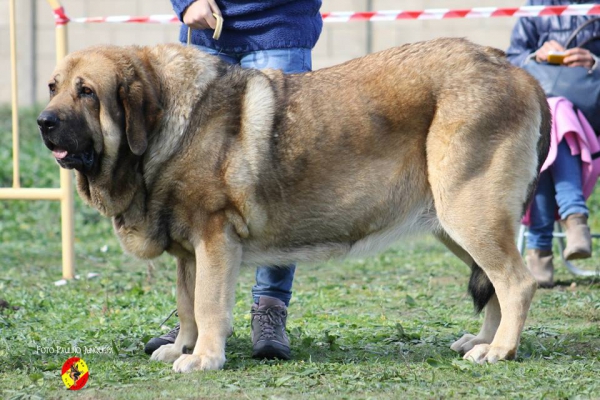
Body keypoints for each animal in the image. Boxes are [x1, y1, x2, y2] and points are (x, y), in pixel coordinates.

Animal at [37, 37, 552, 372]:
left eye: (87, 92)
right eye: (52, 87)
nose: (43, 122)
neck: (166, 123)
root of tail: (518, 71)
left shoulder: (214, 238)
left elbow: (207, 305)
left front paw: (203, 359)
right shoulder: (190, 252)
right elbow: (186, 305)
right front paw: (182, 348)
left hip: (469, 211)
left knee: (516, 282)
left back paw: (499, 350)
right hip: (456, 223)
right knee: (495, 283)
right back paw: (482, 339)